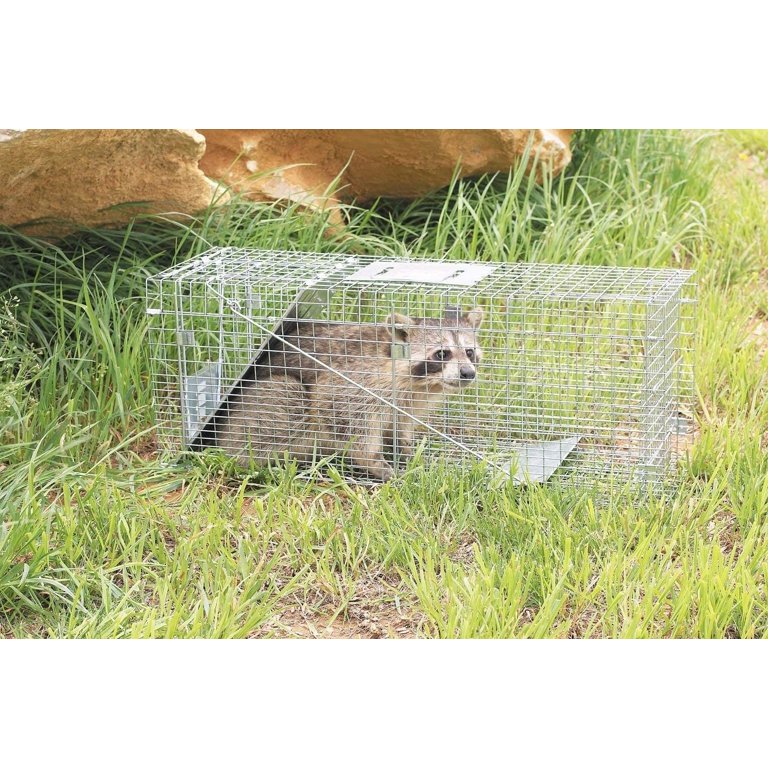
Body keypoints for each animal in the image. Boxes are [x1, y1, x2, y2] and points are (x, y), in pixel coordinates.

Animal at [217, 306, 484, 481]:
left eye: (469, 352)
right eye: (442, 354)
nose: (468, 373)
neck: (423, 384)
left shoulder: (410, 400)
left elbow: (400, 425)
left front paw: (406, 449)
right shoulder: (356, 383)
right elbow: (349, 423)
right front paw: (376, 462)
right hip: (266, 404)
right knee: (287, 400)